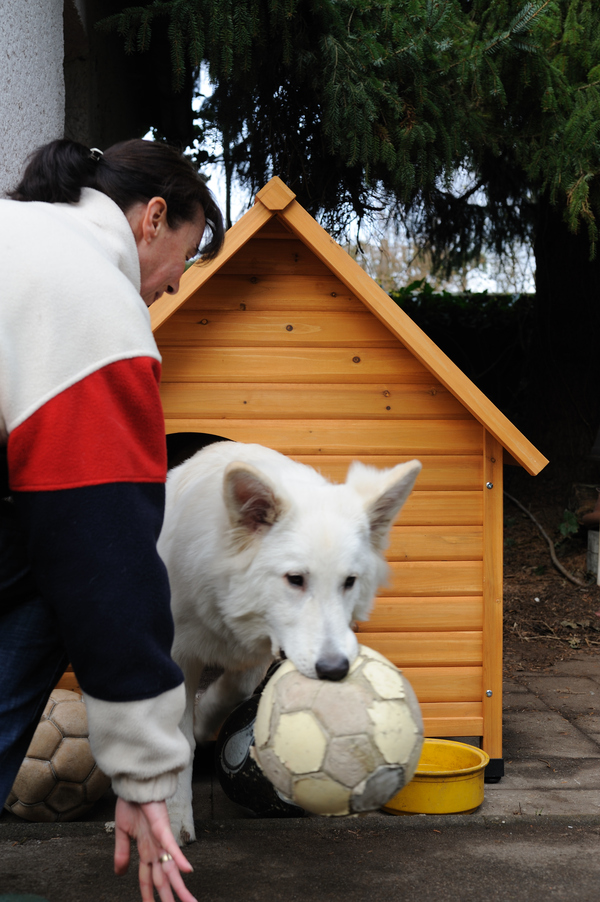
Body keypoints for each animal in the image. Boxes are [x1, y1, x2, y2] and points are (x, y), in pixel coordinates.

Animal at [159, 442, 422, 844]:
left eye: (349, 581)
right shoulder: (175, 653)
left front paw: (204, 721)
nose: (334, 670)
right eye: (295, 579)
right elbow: (177, 743)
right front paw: (174, 822)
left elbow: (235, 689)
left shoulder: (259, 650)